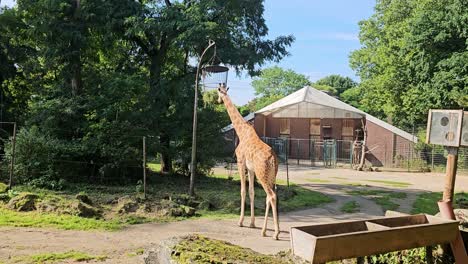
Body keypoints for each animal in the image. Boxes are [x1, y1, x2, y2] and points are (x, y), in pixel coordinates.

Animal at [218, 83, 280, 240]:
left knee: (271, 196)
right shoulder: (251, 169)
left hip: (262, 174)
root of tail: (272, 159)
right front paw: (252, 223)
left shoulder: (240, 163)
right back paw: (267, 230)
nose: (218, 101)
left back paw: (274, 233)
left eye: (218, 93)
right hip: (271, 176)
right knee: (270, 196)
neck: (241, 132)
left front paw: (240, 222)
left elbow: (243, 190)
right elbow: (252, 191)